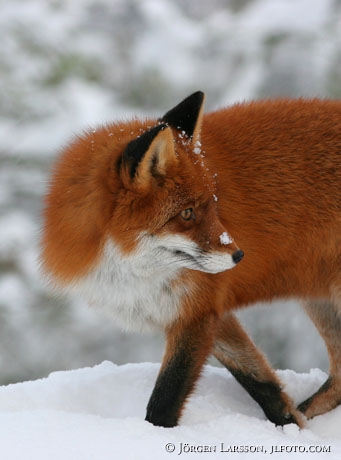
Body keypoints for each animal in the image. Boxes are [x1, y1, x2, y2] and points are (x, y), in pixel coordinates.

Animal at [41, 92, 340, 428]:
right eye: (187, 213)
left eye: (213, 205)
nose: (239, 255)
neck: (132, 273)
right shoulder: (201, 312)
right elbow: (258, 379)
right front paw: (289, 425)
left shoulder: (198, 309)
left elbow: (167, 395)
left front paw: (155, 434)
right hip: (320, 302)